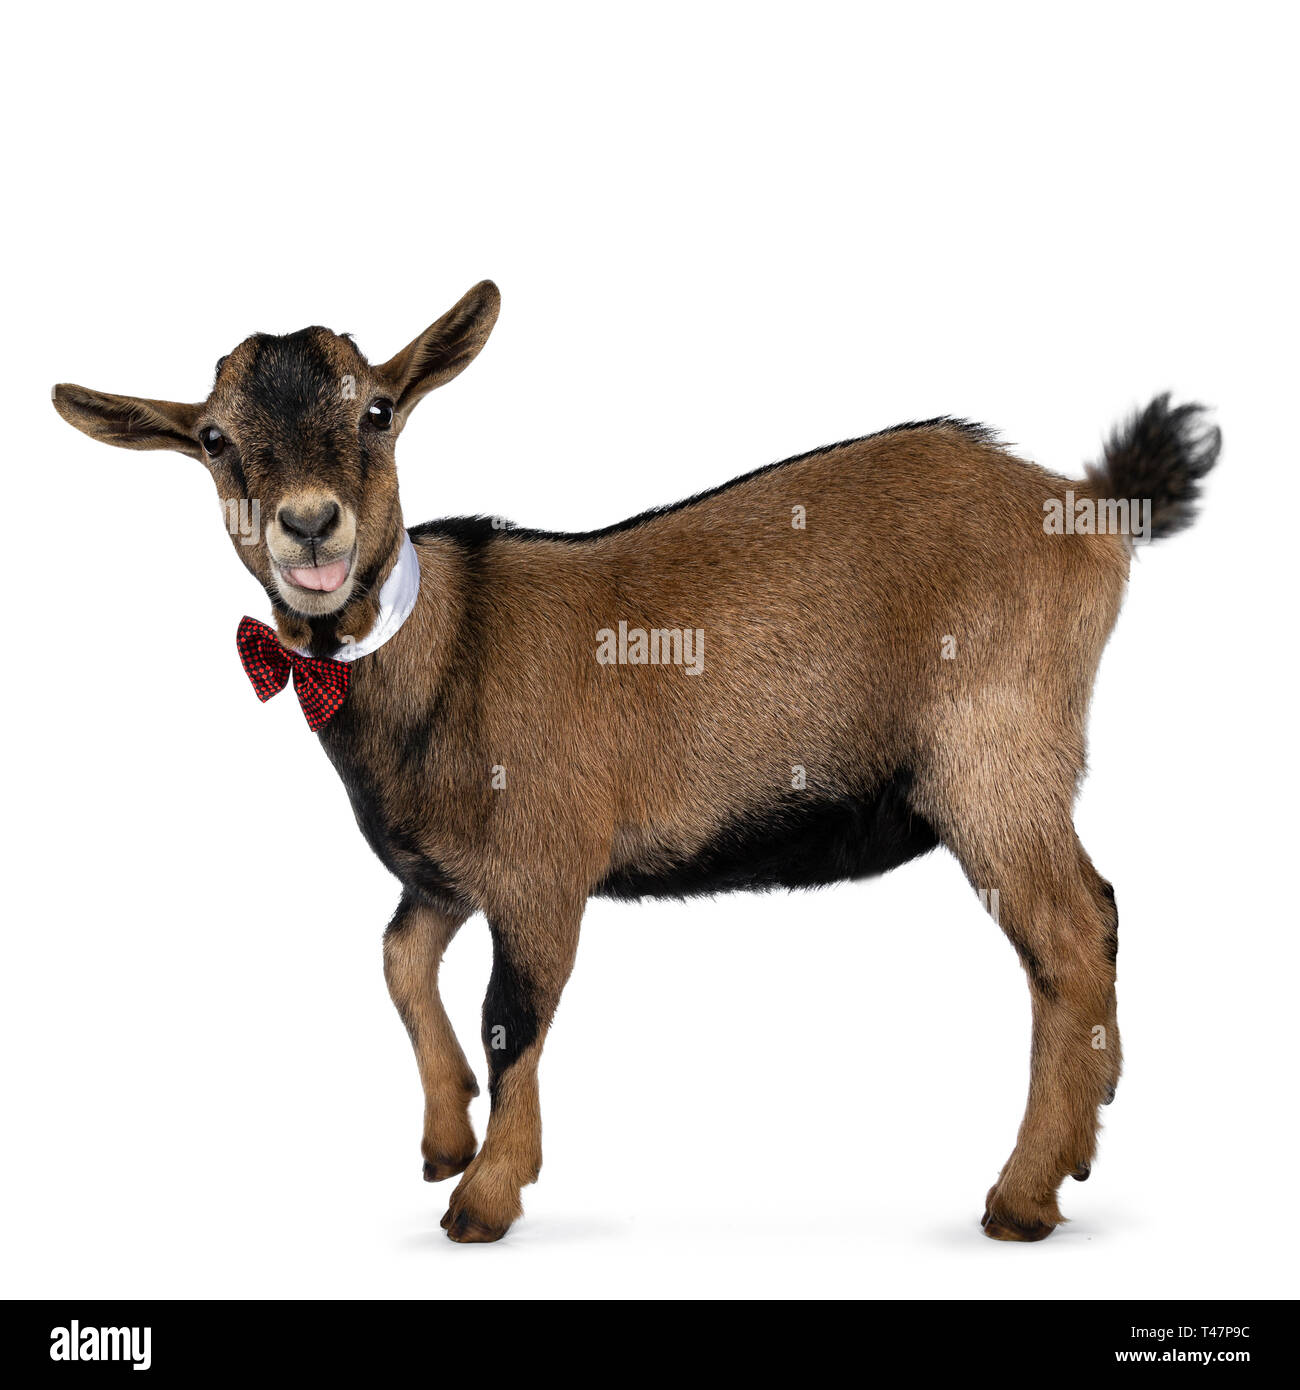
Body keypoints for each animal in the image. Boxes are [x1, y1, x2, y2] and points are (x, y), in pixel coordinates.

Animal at [50, 282, 1217, 1239]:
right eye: (213, 437)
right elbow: (397, 961)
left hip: (991, 762)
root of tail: (1089, 510)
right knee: (1099, 912)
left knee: (1066, 936)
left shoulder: (541, 868)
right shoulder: (444, 875)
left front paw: (485, 1198)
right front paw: (444, 1141)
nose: (309, 527)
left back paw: (1021, 1195)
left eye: (377, 409)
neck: (444, 652)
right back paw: (1085, 1130)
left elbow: (513, 1018)